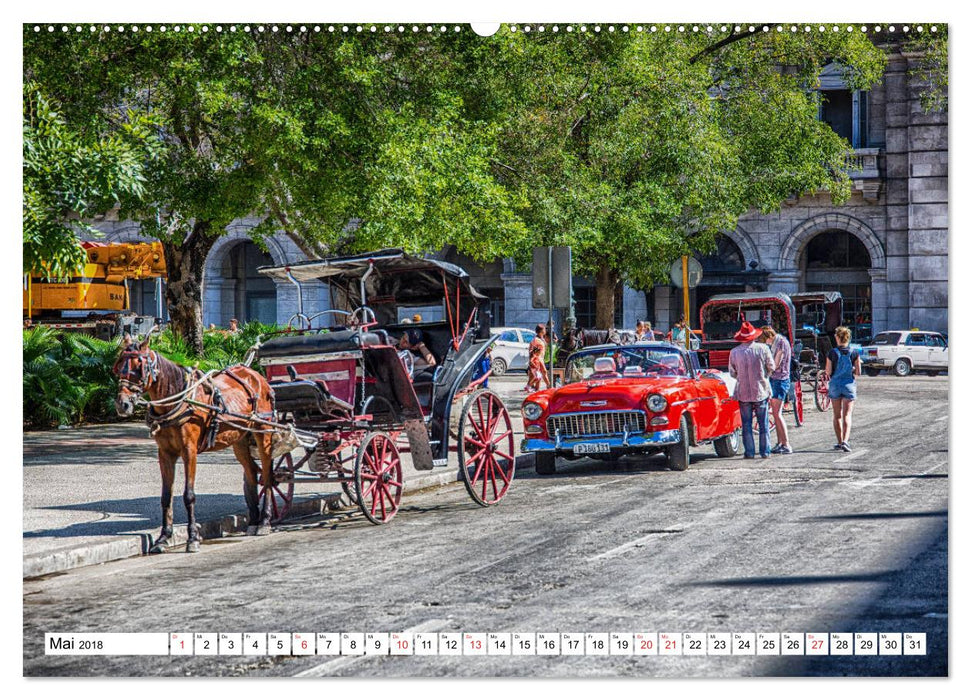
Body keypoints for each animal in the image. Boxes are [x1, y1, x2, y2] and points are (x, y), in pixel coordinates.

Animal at [117, 332, 280, 552]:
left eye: (138, 368)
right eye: (118, 366)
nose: (122, 404)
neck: (179, 400)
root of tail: (256, 375)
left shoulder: (189, 450)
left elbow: (189, 495)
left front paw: (193, 538)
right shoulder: (165, 453)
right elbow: (166, 496)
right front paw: (163, 538)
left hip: (263, 432)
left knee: (268, 474)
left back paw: (265, 521)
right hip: (240, 439)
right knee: (252, 474)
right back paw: (254, 521)